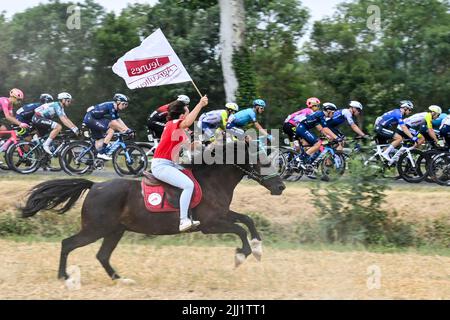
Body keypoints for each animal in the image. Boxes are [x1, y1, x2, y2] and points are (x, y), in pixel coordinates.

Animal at [21, 142, 284, 282]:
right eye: (262, 162)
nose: (281, 186)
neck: (211, 180)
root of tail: (94, 186)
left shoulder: (222, 214)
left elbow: (247, 220)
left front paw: (258, 247)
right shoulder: (210, 225)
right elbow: (240, 230)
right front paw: (242, 255)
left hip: (114, 231)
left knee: (102, 255)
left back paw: (121, 280)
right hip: (95, 229)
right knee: (68, 244)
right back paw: (63, 276)